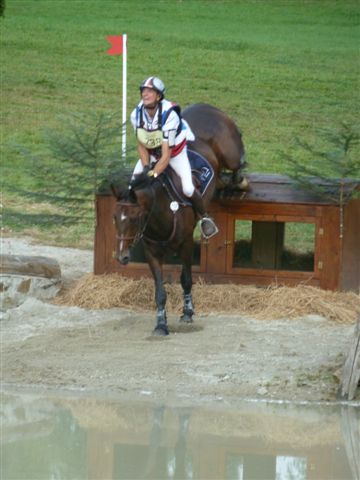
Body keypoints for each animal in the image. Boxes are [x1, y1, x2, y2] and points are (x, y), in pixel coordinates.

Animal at [112, 103, 246, 336]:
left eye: (135, 218)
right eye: (114, 218)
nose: (122, 257)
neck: (160, 212)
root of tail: (209, 107)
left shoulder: (185, 244)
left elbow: (186, 280)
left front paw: (188, 312)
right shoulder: (152, 253)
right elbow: (159, 291)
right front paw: (161, 324)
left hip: (229, 152)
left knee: (238, 163)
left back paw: (239, 180)